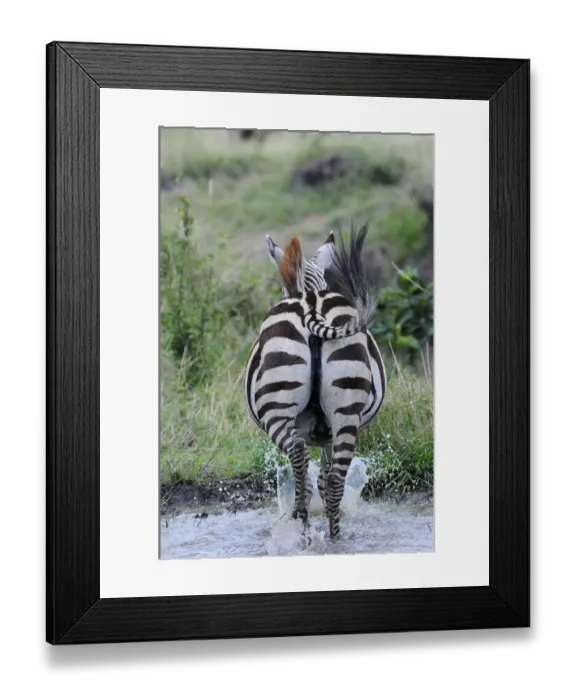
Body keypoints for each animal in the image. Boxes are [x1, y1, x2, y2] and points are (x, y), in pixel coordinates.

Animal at [244, 225, 386, 539]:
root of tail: (311, 307)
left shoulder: (316, 434)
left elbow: (311, 479)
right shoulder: (327, 434)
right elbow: (322, 478)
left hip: (276, 409)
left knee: (298, 454)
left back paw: (301, 520)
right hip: (346, 411)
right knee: (334, 480)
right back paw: (334, 537)